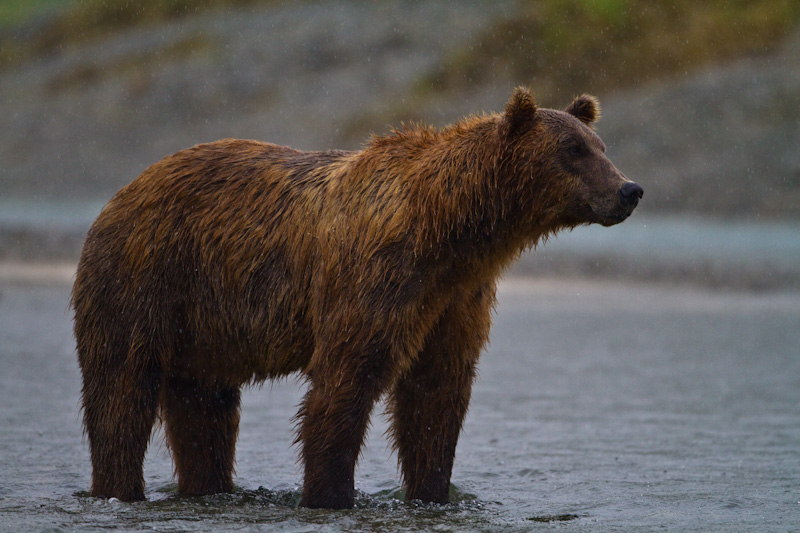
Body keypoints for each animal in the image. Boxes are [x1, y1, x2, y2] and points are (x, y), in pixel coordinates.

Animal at [70, 86, 644, 508]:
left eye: (601, 147)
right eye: (573, 150)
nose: (629, 189)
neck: (449, 231)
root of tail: (122, 192)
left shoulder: (455, 299)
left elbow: (436, 396)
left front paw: (433, 492)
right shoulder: (375, 280)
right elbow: (345, 385)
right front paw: (329, 494)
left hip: (203, 326)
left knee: (203, 409)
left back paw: (205, 487)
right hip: (143, 279)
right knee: (121, 393)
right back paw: (118, 489)